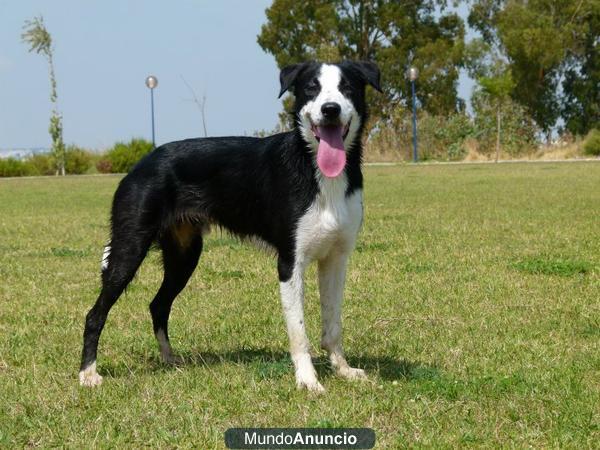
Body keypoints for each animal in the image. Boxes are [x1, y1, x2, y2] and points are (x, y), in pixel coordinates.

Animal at [78, 59, 380, 390]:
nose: (330, 109)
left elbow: (333, 324)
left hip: (184, 255)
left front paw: (343, 369)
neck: (316, 168)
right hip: (130, 248)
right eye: (312, 87)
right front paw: (308, 381)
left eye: (347, 87)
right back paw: (88, 373)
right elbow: (298, 331)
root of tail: (140, 164)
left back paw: (169, 359)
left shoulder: (336, 259)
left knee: (158, 304)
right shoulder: (291, 262)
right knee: (95, 314)